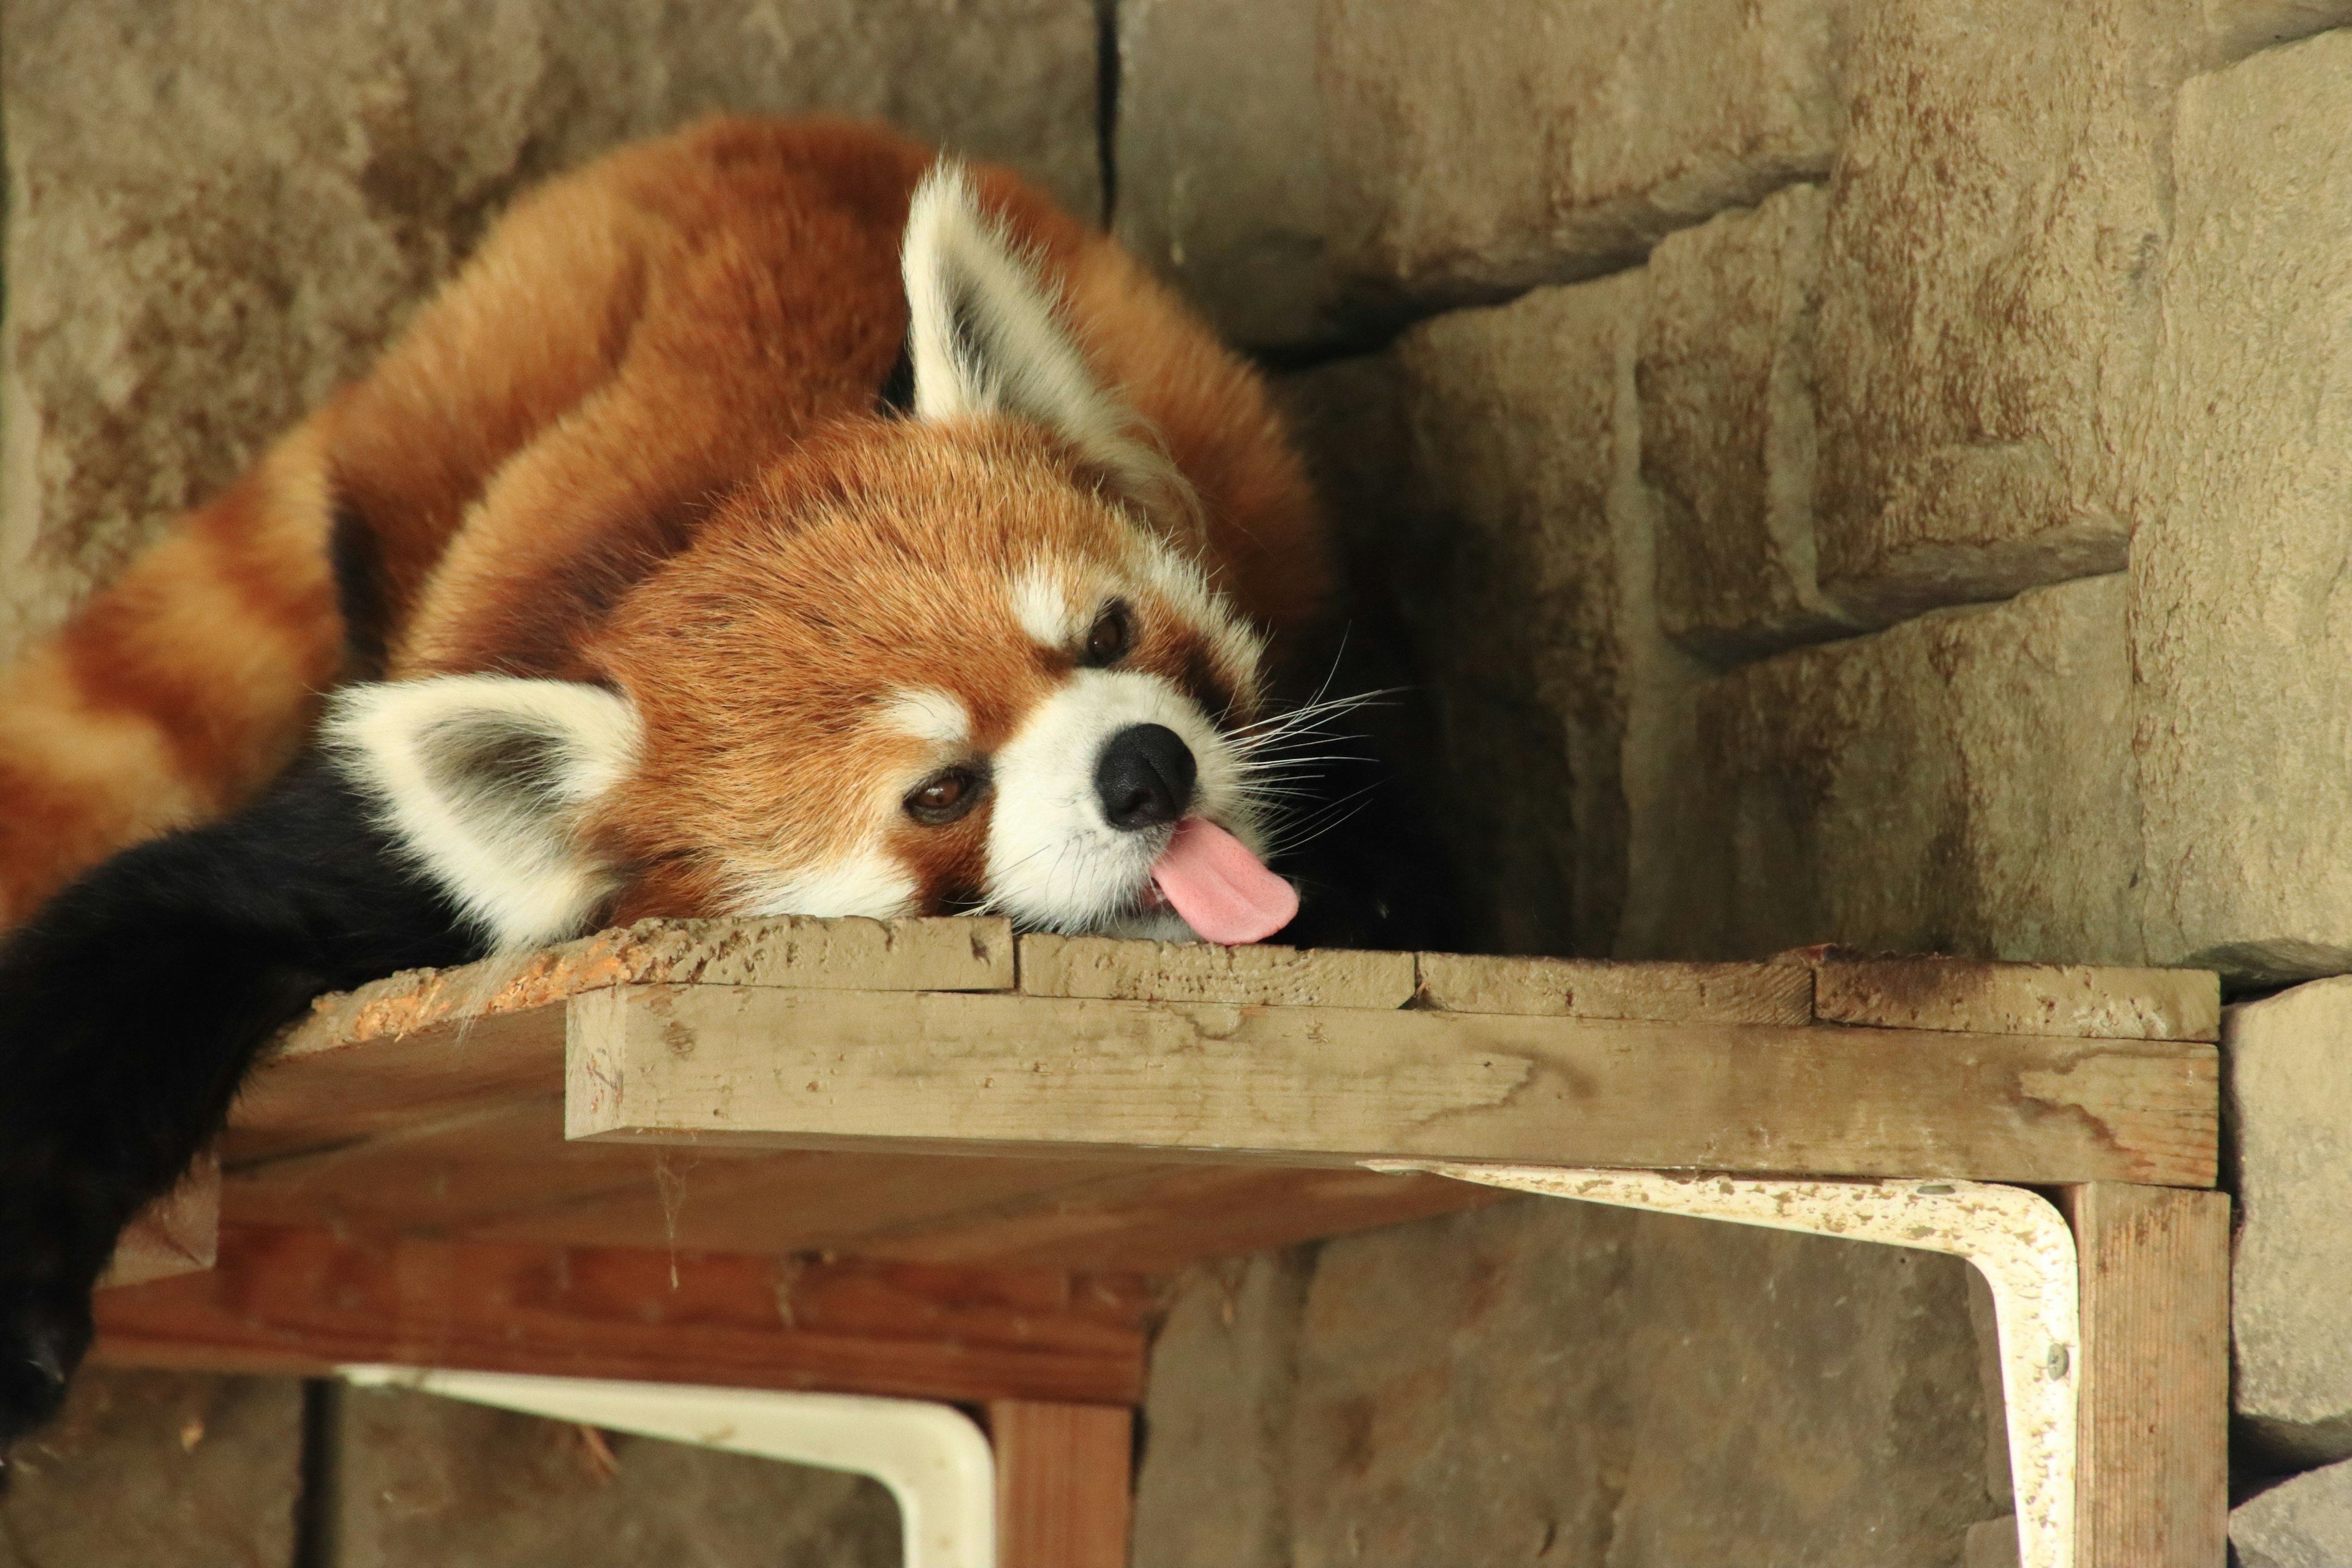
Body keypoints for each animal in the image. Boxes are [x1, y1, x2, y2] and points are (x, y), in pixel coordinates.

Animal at [0, 116, 1345, 1457]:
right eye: (942, 791)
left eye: (1108, 634)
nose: (1145, 769)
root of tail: (734, 133)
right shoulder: (406, 862)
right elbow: (153, 936)